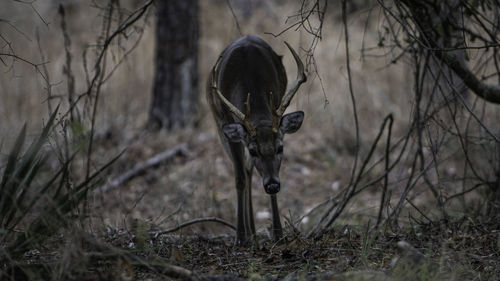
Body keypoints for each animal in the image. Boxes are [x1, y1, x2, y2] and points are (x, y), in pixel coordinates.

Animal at [206, 35, 306, 245]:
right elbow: (239, 178)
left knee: (249, 169)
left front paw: (278, 233)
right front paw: (240, 237)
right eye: (253, 150)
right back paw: (248, 233)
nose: (272, 184)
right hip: (219, 125)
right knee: (244, 170)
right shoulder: (228, 123)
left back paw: (252, 231)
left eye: (280, 148)